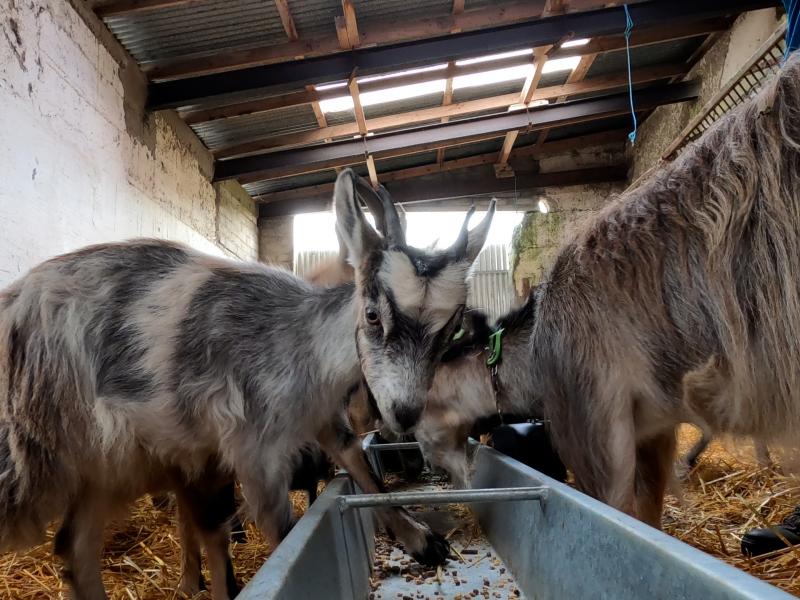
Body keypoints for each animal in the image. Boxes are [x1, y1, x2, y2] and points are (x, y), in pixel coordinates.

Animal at [0, 169, 494, 600]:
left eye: (449, 331)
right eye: (373, 315)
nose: (405, 413)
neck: (303, 342)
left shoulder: (322, 418)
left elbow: (363, 469)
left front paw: (422, 539)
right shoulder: (254, 448)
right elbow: (285, 533)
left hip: (104, 463)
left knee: (75, 548)